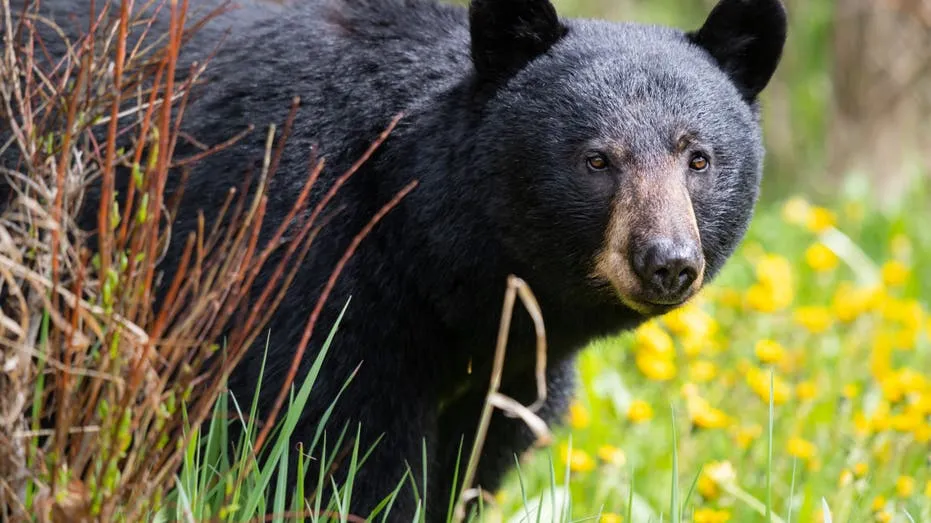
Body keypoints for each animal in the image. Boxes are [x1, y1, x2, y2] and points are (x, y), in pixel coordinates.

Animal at [5, 0, 787, 519]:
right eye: (596, 159)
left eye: (698, 158)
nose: (666, 261)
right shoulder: (311, 263)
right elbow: (344, 449)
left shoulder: (512, 366)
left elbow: (472, 462)